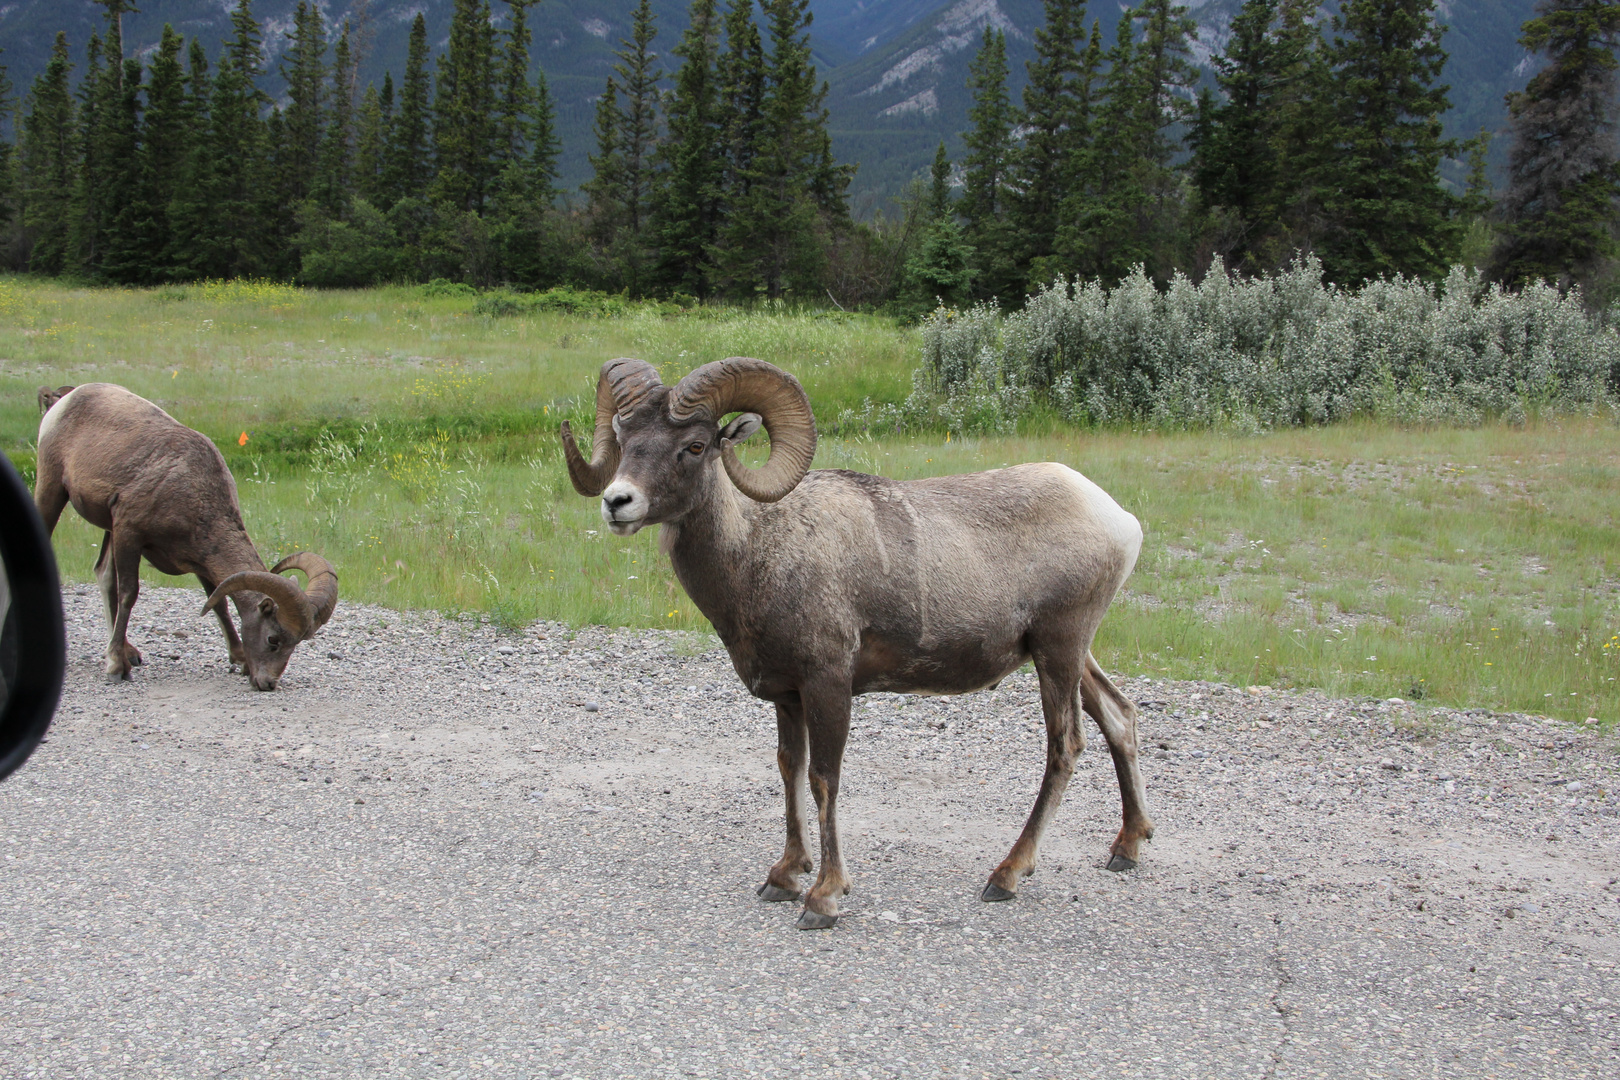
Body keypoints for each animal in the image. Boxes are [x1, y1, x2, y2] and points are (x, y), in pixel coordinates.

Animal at [33, 386, 336, 693]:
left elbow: (219, 603)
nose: (268, 683)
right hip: (52, 489)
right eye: (273, 639)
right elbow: (129, 593)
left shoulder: (200, 561)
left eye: (297, 644)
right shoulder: (129, 534)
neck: (192, 492)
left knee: (103, 574)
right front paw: (117, 667)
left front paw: (239, 659)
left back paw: (129, 652)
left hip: (107, 528)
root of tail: (67, 399)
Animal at [563, 356, 1146, 932]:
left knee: (1064, 748)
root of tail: (1120, 520)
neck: (759, 552)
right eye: (625, 436)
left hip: (1060, 649)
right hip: (1068, 655)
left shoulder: (828, 684)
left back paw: (1005, 876)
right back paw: (1127, 849)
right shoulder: (787, 697)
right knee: (1119, 716)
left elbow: (824, 779)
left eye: (696, 445)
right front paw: (783, 877)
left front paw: (823, 898)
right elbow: (789, 769)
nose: (618, 502)